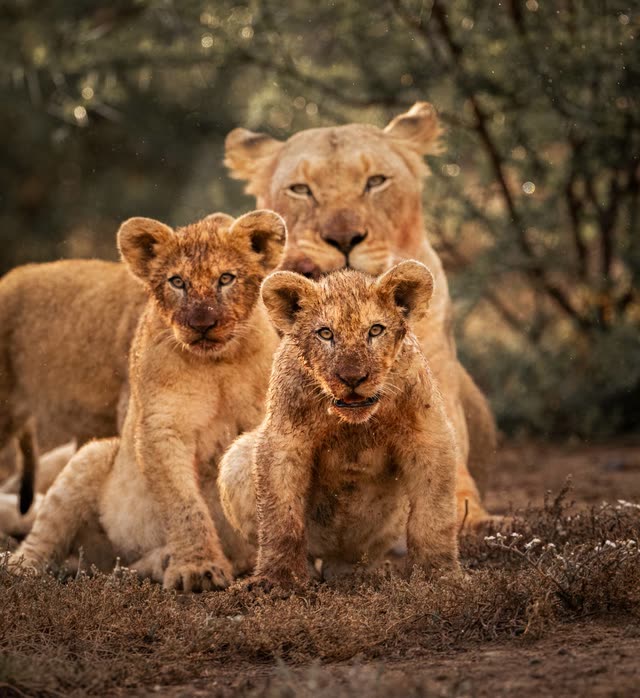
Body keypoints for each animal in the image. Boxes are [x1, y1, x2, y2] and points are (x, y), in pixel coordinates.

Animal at [12, 209, 286, 591]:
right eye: (177, 282)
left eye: (226, 278)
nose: (203, 324)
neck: (218, 364)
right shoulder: (161, 427)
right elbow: (183, 503)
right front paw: (197, 568)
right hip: (92, 457)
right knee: (44, 538)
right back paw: (20, 567)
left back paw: (155, 563)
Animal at [219, 261, 460, 586]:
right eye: (325, 333)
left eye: (375, 330)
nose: (352, 378)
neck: (352, 425)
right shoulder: (283, 439)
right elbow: (280, 518)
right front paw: (278, 579)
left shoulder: (428, 435)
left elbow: (434, 515)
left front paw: (440, 574)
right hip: (238, 456)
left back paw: (362, 575)